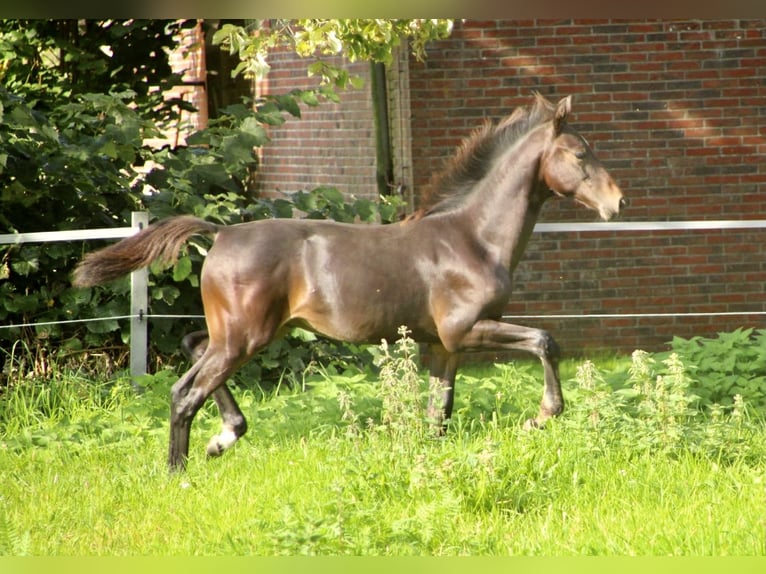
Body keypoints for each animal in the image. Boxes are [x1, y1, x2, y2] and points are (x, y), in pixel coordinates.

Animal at [72, 93, 628, 472]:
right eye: (580, 154)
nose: (617, 203)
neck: (472, 238)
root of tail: (222, 232)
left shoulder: (442, 345)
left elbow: (439, 414)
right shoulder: (466, 330)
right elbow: (546, 340)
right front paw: (543, 415)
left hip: (239, 332)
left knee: (192, 347)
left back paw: (223, 437)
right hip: (245, 337)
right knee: (185, 393)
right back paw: (180, 471)